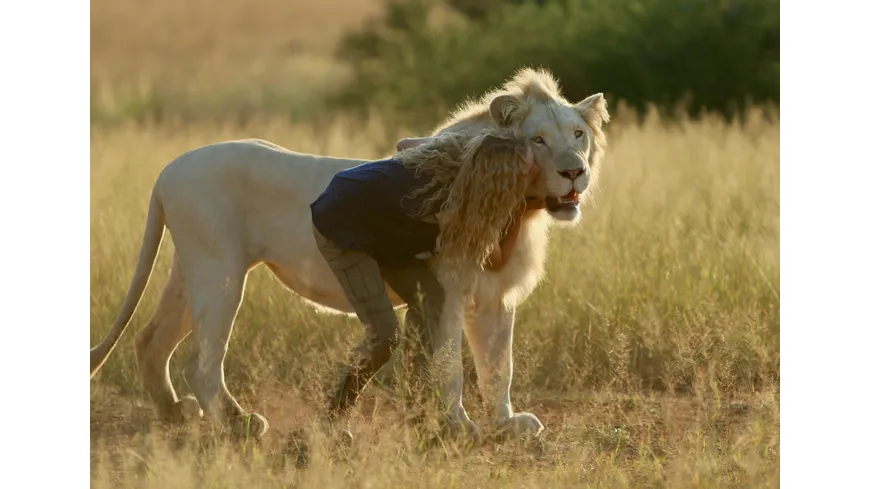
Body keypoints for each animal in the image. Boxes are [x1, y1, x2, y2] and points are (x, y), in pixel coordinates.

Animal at [89, 68, 610, 441]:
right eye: (538, 139)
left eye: (578, 135)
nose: (574, 172)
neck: (518, 209)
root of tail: (167, 171)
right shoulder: (443, 290)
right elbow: (450, 366)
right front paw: (458, 427)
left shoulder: (496, 298)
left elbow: (499, 367)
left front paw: (506, 425)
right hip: (220, 272)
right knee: (200, 360)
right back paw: (239, 425)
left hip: (191, 267)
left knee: (150, 341)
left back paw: (174, 415)